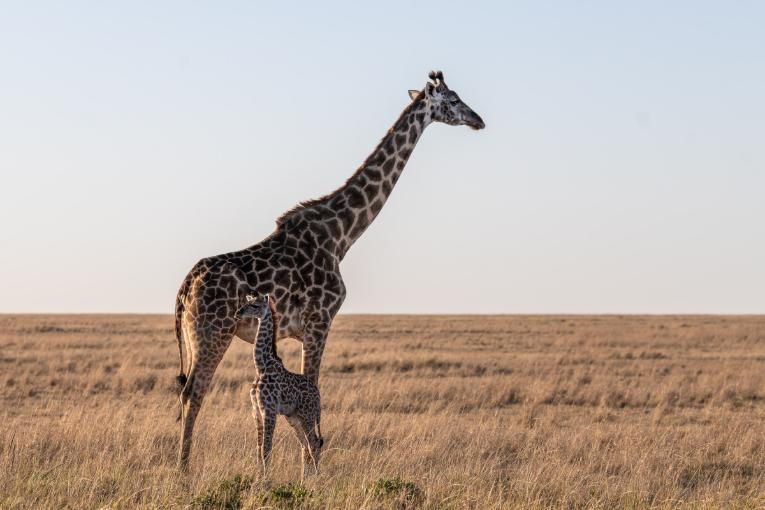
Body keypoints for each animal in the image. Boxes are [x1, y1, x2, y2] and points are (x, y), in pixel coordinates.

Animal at [237, 294, 324, 478]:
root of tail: (318, 395)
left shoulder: (269, 410)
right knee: (304, 444)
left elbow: (266, 448)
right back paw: (304, 478)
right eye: (247, 302)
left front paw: (265, 479)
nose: (237, 313)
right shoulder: (256, 411)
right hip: (294, 417)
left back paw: (316, 477)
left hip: (308, 415)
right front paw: (259, 476)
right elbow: (258, 449)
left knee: (314, 443)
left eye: (255, 305)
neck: (261, 366)